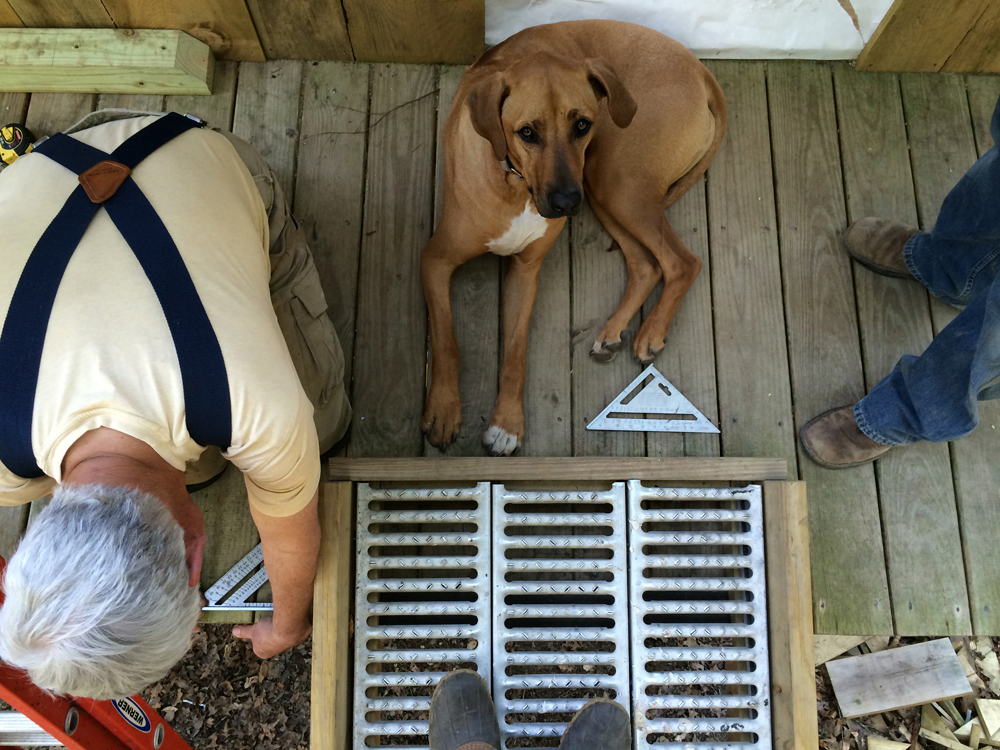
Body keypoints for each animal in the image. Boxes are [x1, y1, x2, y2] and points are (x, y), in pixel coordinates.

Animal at [420, 20, 728, 458]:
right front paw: (446, 412)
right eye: (526, 133)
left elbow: (516, 355)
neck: (514, 184)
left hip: (613, 182)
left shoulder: (526, 273)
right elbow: (447, 340)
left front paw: (507, 425)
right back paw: (615, 331)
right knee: (646, 264)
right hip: (606, 188)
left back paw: (650, 333)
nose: (566, 202)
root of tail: (701, 72)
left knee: (682, 262)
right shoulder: (435, 261)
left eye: (581, 124)